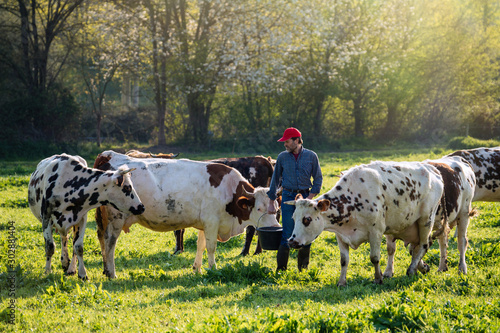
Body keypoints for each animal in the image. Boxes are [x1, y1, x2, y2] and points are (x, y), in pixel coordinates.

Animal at [92, 149, 280, 276]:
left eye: (276, 208)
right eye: (259, 208)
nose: (275, 227)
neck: (229, 189)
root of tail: (109, 154)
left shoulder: (205, 223)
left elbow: (201, 245)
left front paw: (197, 268)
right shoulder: (212, 221)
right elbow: (211, 247)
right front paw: (213, 268)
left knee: (102, 239)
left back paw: (105, 270)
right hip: (116, 218)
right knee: (110, 243)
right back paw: (111, 273)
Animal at [284, 161, 444, 286]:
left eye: (307, 219)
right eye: (293, 218)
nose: (291, 241)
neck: (352, 199)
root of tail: (432, 169)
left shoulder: (376, 232)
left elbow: (374, 258)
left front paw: (378, 279)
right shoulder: (340, 236)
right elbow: (344, 260)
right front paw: (341, 282)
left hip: (426, 220)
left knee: (424, 244)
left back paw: (411, 269)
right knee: (415, 247)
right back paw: (421, 267)